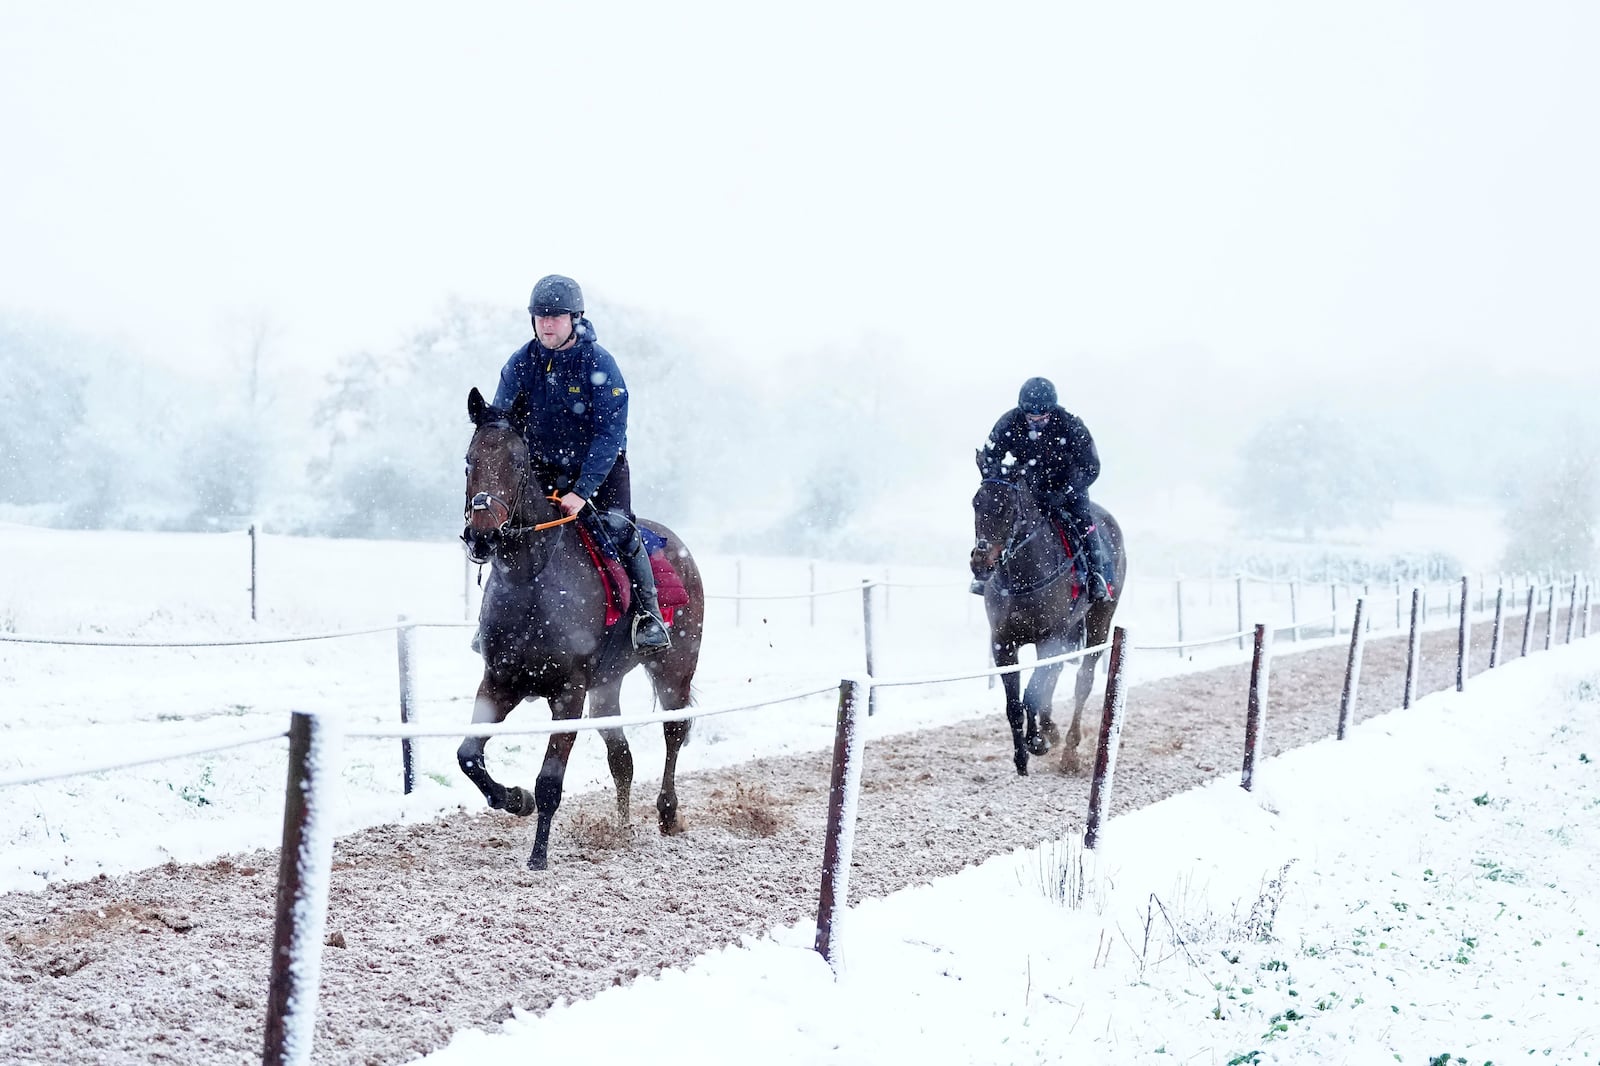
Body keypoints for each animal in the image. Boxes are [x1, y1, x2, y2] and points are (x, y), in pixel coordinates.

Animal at [451, 385, 700, 870]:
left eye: (517, 463)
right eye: (470, 461)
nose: (482, 536)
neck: (531, 579)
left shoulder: (569, 691)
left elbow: (550, 780)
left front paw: (538, 856)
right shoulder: (499, 681)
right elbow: (468, 755)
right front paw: (515, 799)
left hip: (674, 669)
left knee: (674, 733)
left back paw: (667, 813)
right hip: (606, 689)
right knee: (621, 757)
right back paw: (623, 828)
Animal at [960, 464, 1126, 771]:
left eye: (1009, 507)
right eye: (976, 502)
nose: (981, 561)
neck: (1023, 578)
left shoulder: (1050, 638)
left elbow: (1032, 692)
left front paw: (1036, 742)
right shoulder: (1003, 643)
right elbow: (1015, 702)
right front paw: (1022, 754)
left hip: (1100, 619)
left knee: (1083, 680)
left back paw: (1070, 749)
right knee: (1055, 675)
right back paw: (1052, 729)